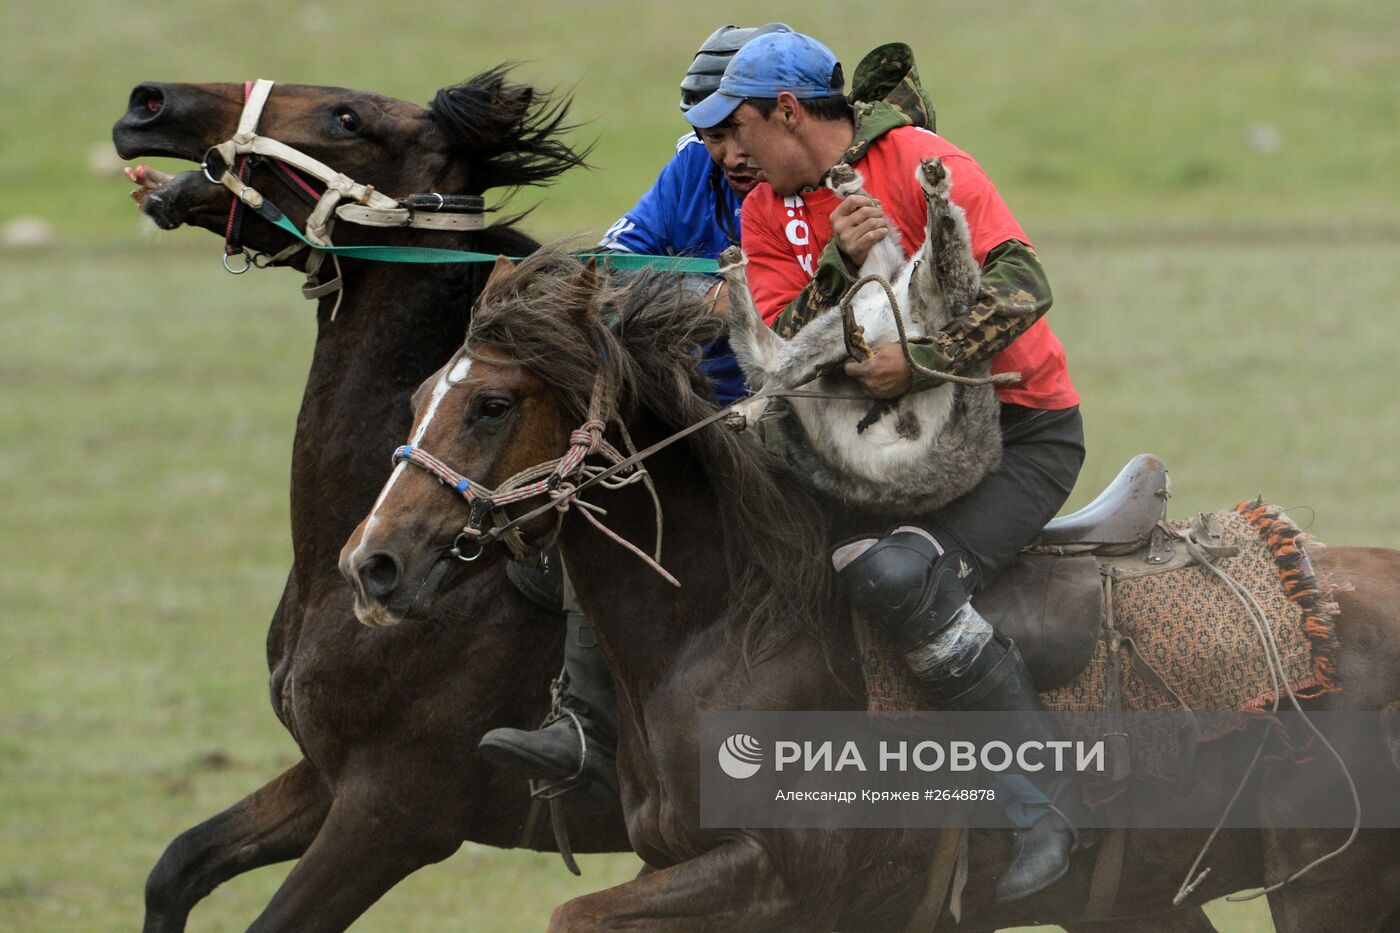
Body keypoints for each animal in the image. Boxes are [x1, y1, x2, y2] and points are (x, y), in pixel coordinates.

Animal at [344, 249, 1400, 930]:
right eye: (419, 397)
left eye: (492, 404)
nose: (372, 563)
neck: (729, 627)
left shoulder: (771, 878)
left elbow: (572, 913)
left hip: (1324, 888)